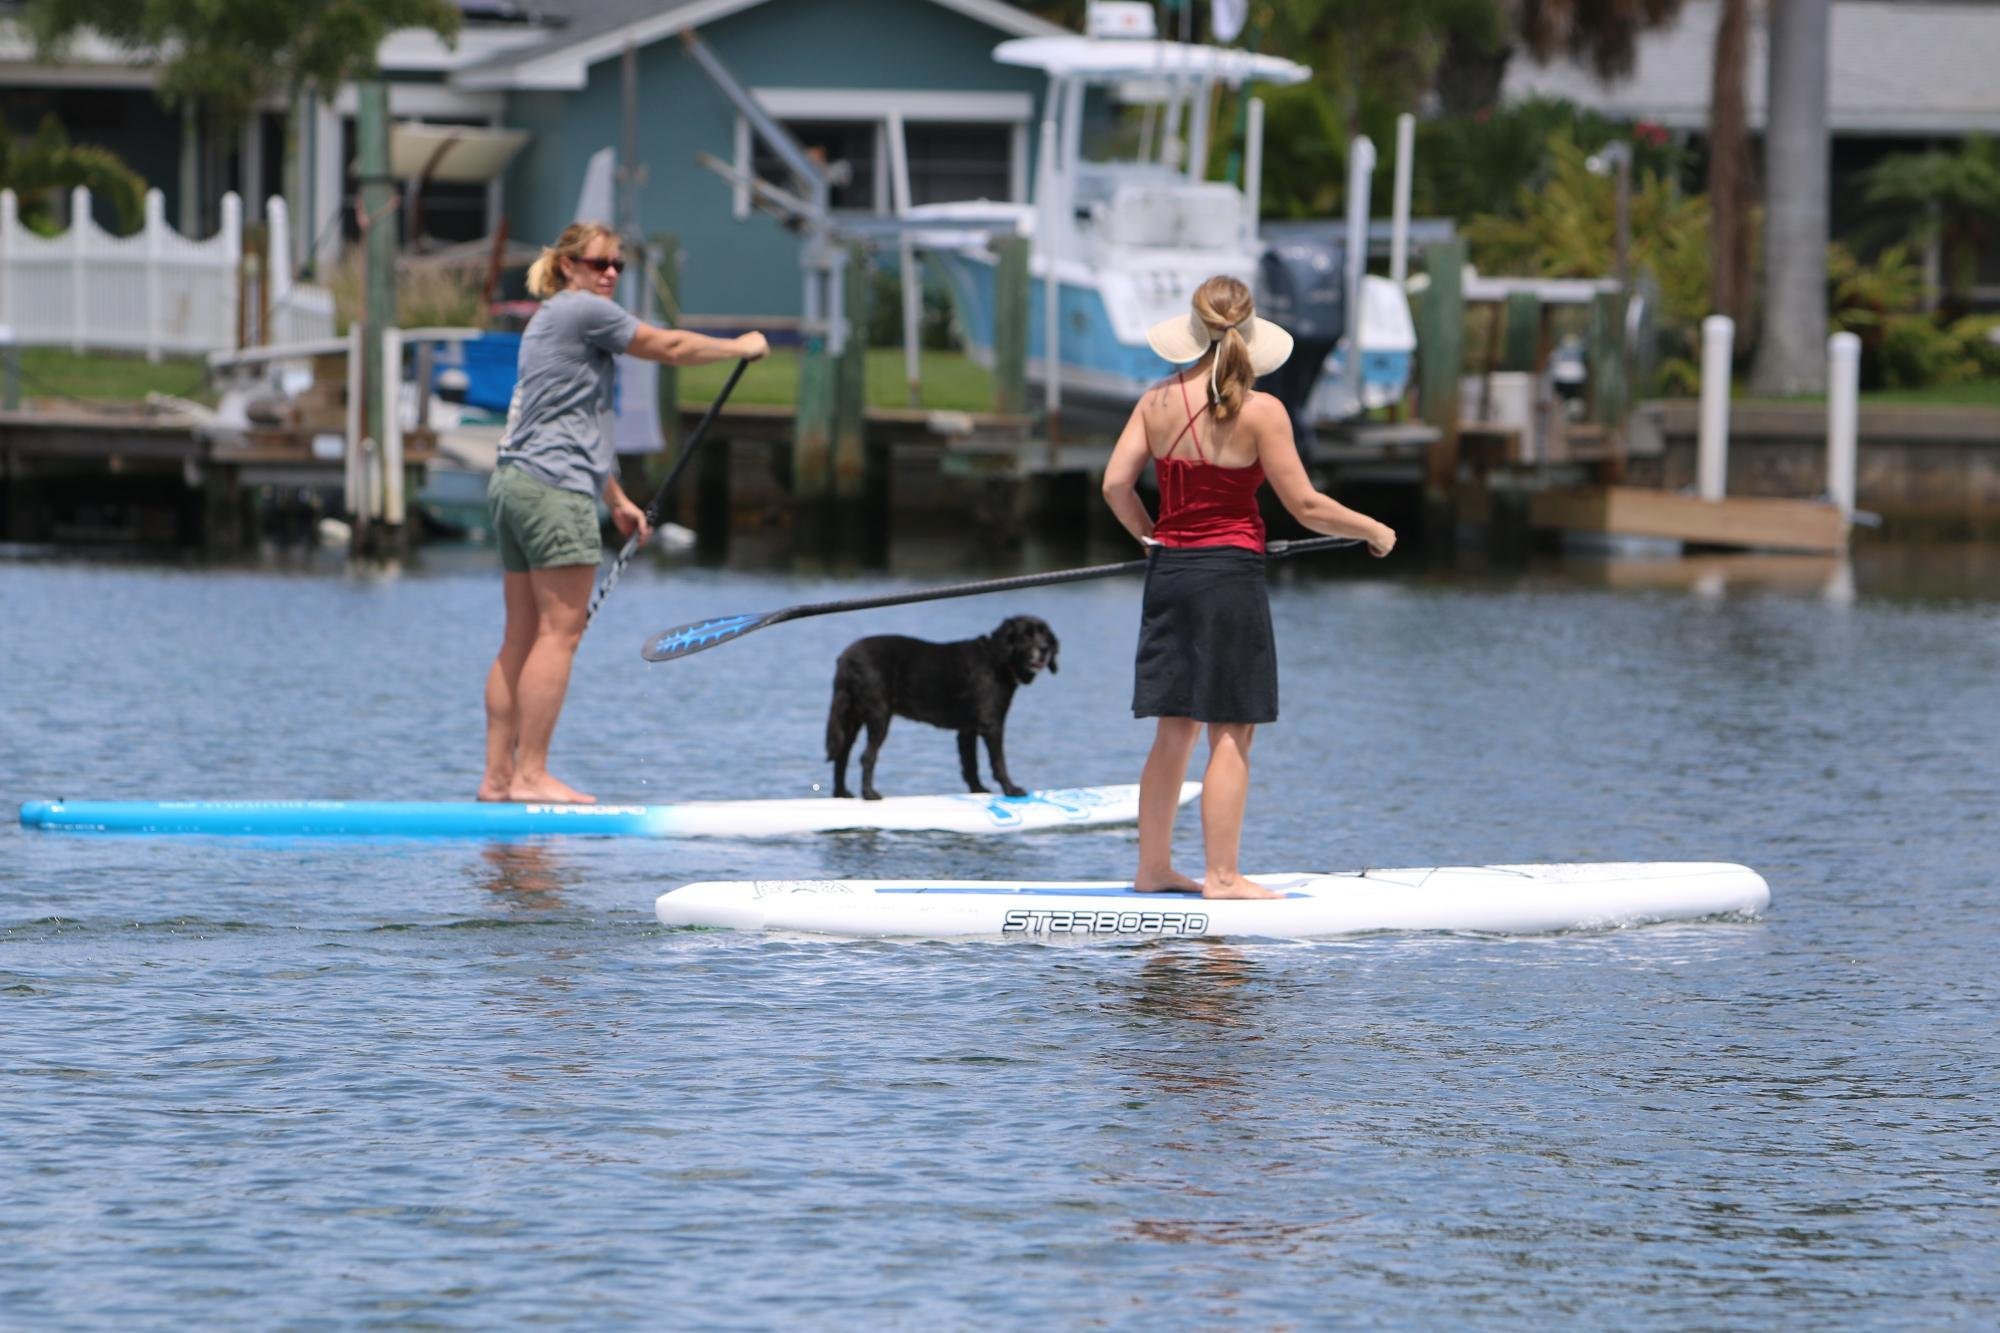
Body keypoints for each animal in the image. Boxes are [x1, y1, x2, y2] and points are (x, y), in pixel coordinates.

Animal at [824, 616, 1064, 800]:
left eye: (1046, 636)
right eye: (1026, 635)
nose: (1044, 649)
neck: (997, 658)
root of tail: (846, 658)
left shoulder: (967, 730)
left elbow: (970, 764)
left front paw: (978, 790)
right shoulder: (991, 724)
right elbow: (998, 762)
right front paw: (1011, 789)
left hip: (851, 717)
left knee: (842, 754)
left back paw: (842, 793)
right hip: (878, 715)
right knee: (866, 756)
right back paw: (869, 794)